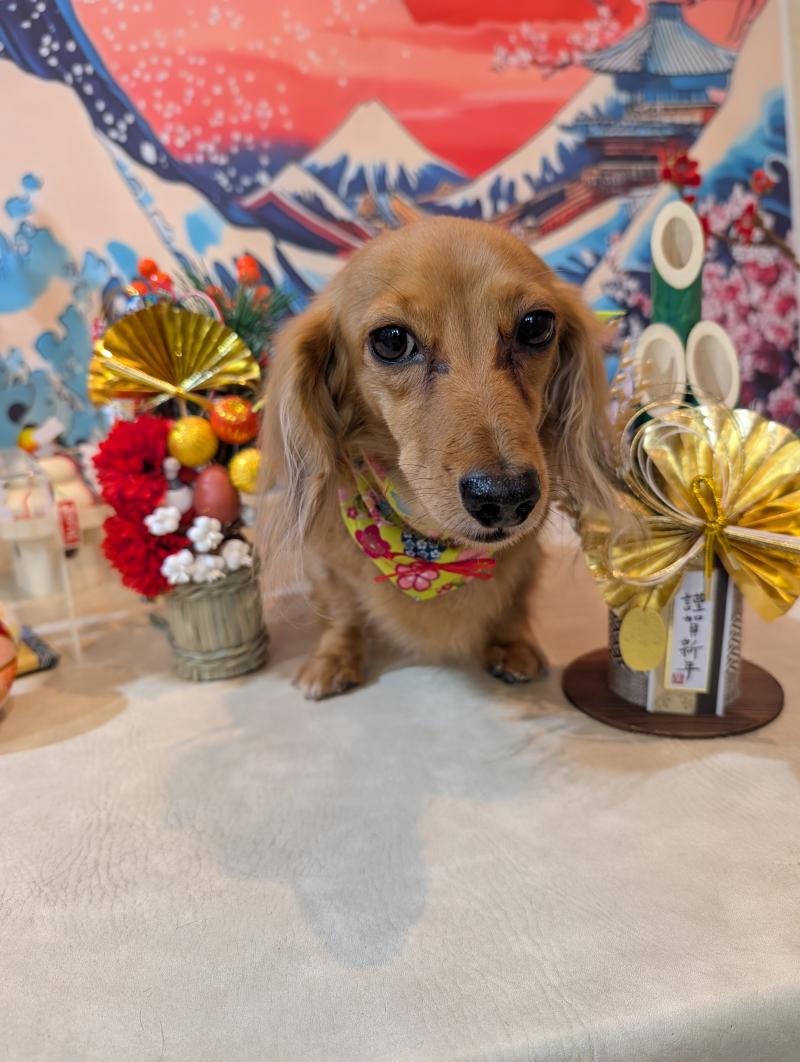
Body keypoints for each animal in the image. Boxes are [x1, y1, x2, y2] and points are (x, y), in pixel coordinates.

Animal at [258, 217, 615, 699]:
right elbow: (342, 607)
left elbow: (515, 595)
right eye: (392, 340)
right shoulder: (327, 562)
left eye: (536, 325)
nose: (505, 497)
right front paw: (335, 656)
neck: (427, 543)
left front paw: (512, 643)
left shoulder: (527, 553)